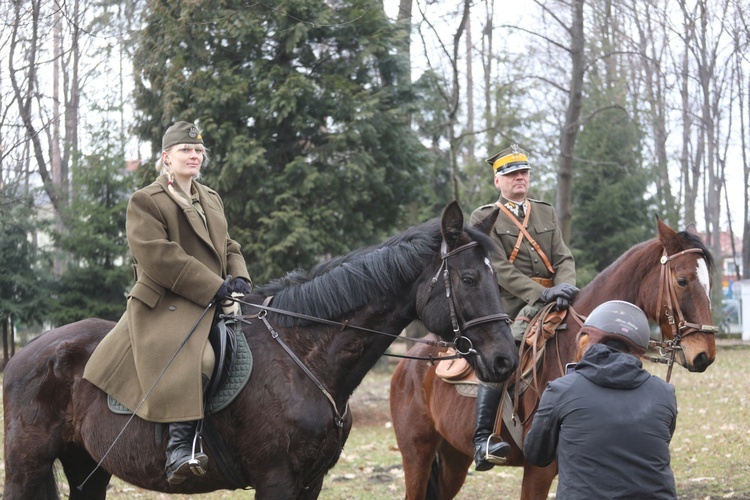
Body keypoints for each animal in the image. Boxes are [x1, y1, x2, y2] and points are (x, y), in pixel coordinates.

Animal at [1, 201, 524, 498]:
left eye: (497, 278)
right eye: (469, 278)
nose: (505, 360)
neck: (305, 356)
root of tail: (26, 354)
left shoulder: (311, 482)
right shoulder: (276, 478)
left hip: (87, 467)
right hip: (27, 464)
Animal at [390, 218, 720, 500]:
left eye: (710, 283)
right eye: (682, 280)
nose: (704, 354)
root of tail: (408, 362)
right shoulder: (539, 469)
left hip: (453, 458)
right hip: (418, 453)